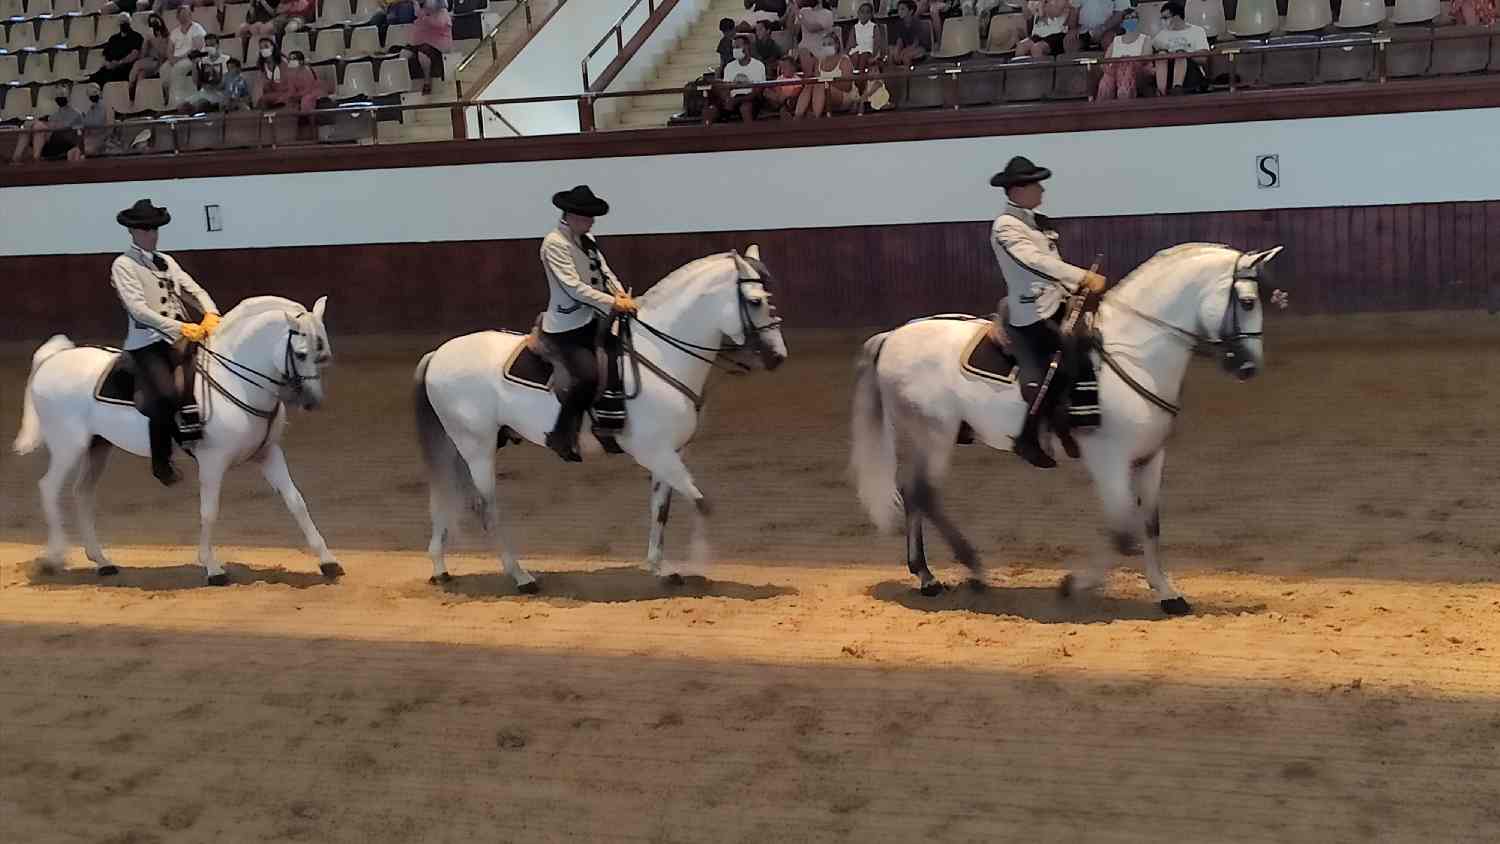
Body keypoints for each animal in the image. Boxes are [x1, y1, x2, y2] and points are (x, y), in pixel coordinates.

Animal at [12, 293, 340, 584]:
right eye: (301, 353)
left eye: (322, 354)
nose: (312, 401)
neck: (235, 379)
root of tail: (53, 360)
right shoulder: (212, 460)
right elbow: (209, 511)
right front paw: (213, 568)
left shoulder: (268, 453)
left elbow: (296, 501)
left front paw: (328, 562)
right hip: (69, 446)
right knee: (49, 488)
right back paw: (54, 558)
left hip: (98, 447)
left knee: (82, 493)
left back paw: (102, 562)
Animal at [411, 248, 786, 593]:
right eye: (755, 301)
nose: (778, 357)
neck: (661, 354)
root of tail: (438, 354)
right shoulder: (654, 452)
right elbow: (702, 504)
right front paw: (699, 560)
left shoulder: (671, 453)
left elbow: (662, 510)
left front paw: (661, 568)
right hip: (478, 447)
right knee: (486, 509)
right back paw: (521, 577)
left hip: (461, 447)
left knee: (447, 496)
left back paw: (441, 567)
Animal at [852, 242, 1284, 614]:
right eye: (1247, 302)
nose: (1249, 367)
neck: (1136, 354)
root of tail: (894, 336)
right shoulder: (1108, 461)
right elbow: (1122, 531)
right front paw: (1074, 585)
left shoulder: (1150, 457)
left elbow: (1149, 526)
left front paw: (1167, 592)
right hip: (935, 435)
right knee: (926, 494)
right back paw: (968, 570)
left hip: (925, 437)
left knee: (913, 493)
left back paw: (926, 576)